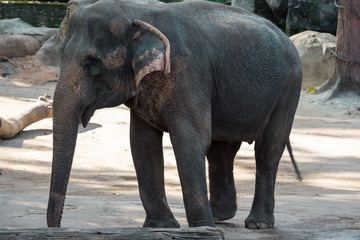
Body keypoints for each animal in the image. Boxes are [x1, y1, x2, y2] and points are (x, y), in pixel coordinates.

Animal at [47, 0, 300, 230]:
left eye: (91, 63)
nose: (57, 227)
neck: (135, 12)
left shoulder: (188, 75)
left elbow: (190, 140)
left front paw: (203, 229)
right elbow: (142, 143)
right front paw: (161, 226)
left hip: (289, 89)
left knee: (268, 150)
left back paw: (257, 224)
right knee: (221, 151)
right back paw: (221, 215)